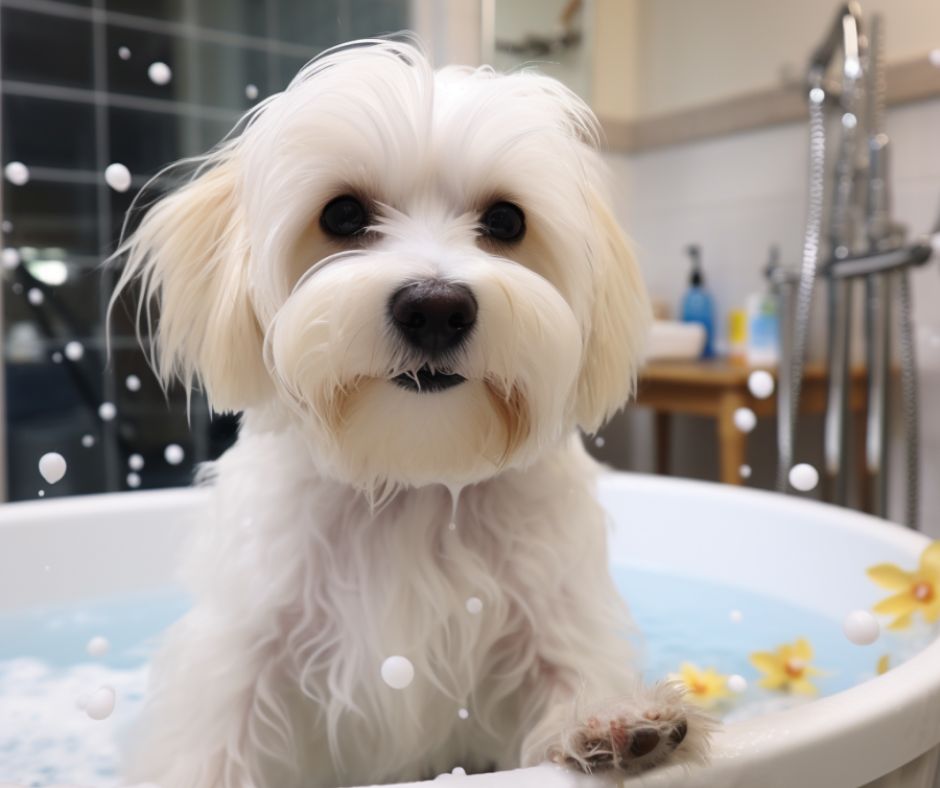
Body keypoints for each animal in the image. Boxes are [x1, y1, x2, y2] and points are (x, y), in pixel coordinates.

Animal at [112, 40, 712, 788]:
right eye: (341, 214)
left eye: (506, 221)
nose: (435, 306)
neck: (414, 474)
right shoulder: (247, 637)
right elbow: (215, 736)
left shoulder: (550, 608)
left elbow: (567, 667)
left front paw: (614, 720)